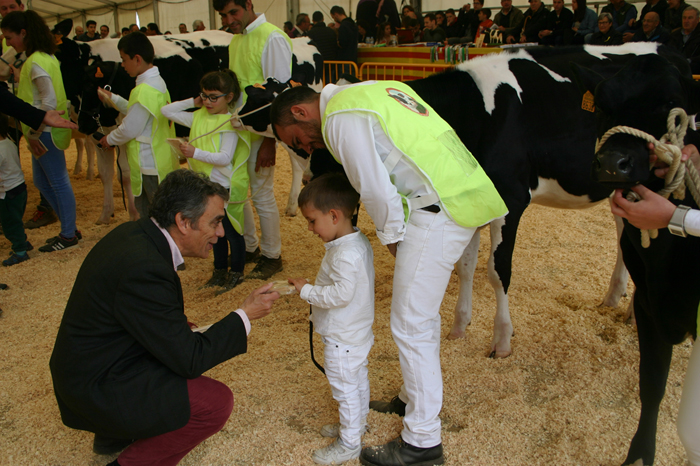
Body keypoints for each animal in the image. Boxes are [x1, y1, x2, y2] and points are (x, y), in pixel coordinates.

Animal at [576, 52, 700, 466]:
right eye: (601, 103)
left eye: (670, 104)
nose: (613, 163)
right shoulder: (648, 302)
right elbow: (652, 384)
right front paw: (641, 452)